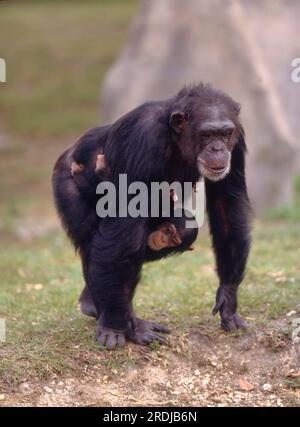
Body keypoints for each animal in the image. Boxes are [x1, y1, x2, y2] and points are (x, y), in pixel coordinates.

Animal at [52, 83, 252, 348]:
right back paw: (120, 318)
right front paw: (114, 326)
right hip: (66, 183)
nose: (218, 148)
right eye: (207, 134)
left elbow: (227, 205)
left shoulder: (237, 142)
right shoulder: (143, 140)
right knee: (102, 241)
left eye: (225, 133)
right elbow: (122, 230)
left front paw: (228, 298)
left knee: (177, 231)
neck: (175, 139)